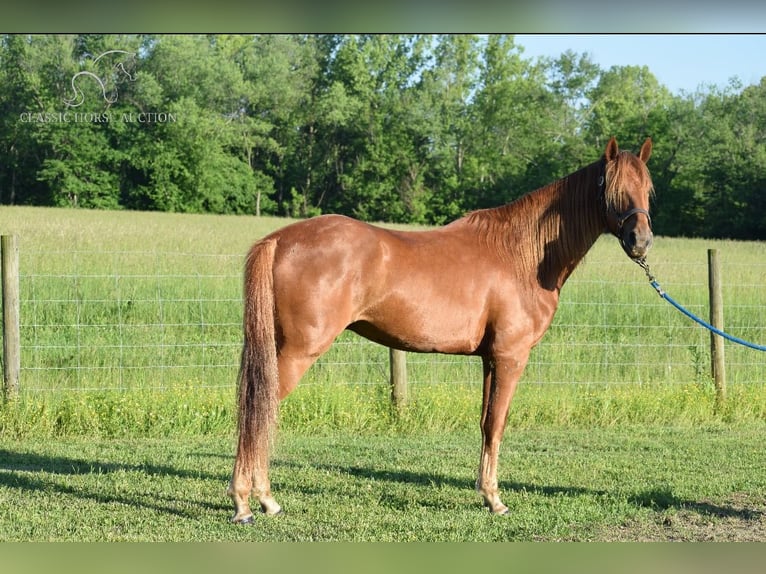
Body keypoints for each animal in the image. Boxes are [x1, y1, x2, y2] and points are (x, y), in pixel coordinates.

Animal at [226, 137, 656, 524]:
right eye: (613, 189)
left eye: (647, 188)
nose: (641, 241)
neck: (521, 254)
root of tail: (279, 239)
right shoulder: (511, 357)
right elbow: (497, 424)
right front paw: (496, 500)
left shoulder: (489, 360)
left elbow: (485, 423)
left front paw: (486, 493)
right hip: (299, 351)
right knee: (260, 411)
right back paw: (248, 503)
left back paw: (262, 500)